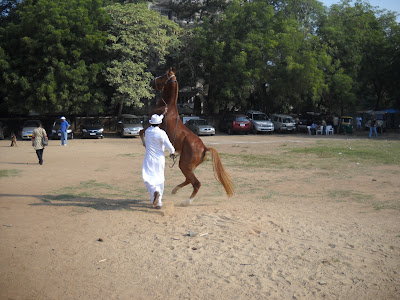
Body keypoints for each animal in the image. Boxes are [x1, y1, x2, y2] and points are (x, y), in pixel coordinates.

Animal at [140, 67, 234, 206]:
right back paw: (175, 190)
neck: (167, 107)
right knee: (189, 180)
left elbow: (141, 131)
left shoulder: (153, 124)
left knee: (196, 183)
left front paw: (144, 143)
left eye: (162, 76)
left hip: (184, 165)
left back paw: (186, 201)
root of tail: (204, 148)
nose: (152, 81)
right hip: (187, 167)